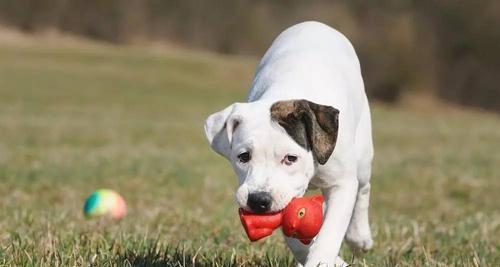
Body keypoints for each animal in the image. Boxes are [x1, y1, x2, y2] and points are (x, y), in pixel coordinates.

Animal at [205, 21, 374, 267]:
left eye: (291, 158)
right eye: (243, 157)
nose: (259, 200)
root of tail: (316, 23)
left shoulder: (341, 183)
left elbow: (330, 232)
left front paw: (322, 260)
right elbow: (293, 233)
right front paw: (332, 260)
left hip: (362, 155)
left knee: (363, 189)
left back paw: (360, 237)